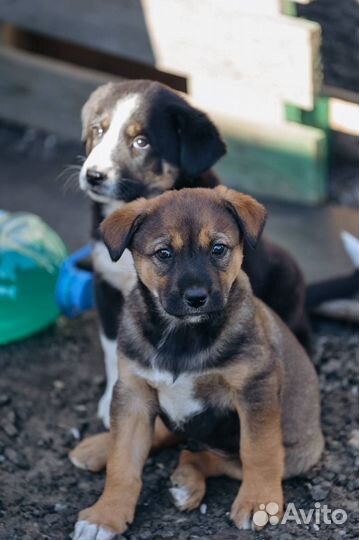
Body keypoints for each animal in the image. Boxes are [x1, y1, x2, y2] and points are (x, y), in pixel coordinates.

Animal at [72, 187, 324, 540]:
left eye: (218, 249)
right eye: (164, 253)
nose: (196, 298)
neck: (182, 336)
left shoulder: (255, 388)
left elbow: (258, 450)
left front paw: (258, 503)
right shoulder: (133, 393)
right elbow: (123, 461)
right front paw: (105, 516)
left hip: (297, 454)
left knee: (208, 456)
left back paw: (187, 483)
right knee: (172, 438)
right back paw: (98, 449)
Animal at [80, 80, 310, 428]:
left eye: (141, 142)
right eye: (97, 130)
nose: (93, 175)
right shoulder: (105, 284)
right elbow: (111, 349)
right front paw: (110, 403)